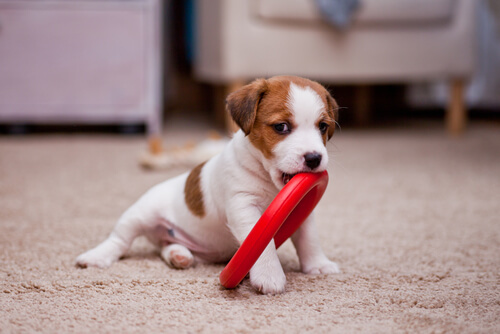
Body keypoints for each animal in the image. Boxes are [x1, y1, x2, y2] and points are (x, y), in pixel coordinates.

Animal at [76, 76, 342, 294]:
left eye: (322, 126)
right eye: (281, 127)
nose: (314, 158)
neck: (268, 182)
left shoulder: (303, 209)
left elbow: (309, 238)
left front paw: (318, 265)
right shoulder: (244, 208)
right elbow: (262, 244)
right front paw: (269, 274)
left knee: (166, 246)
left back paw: (178, 254)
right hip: (140, 214)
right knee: (119, 240)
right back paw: (96, 256)